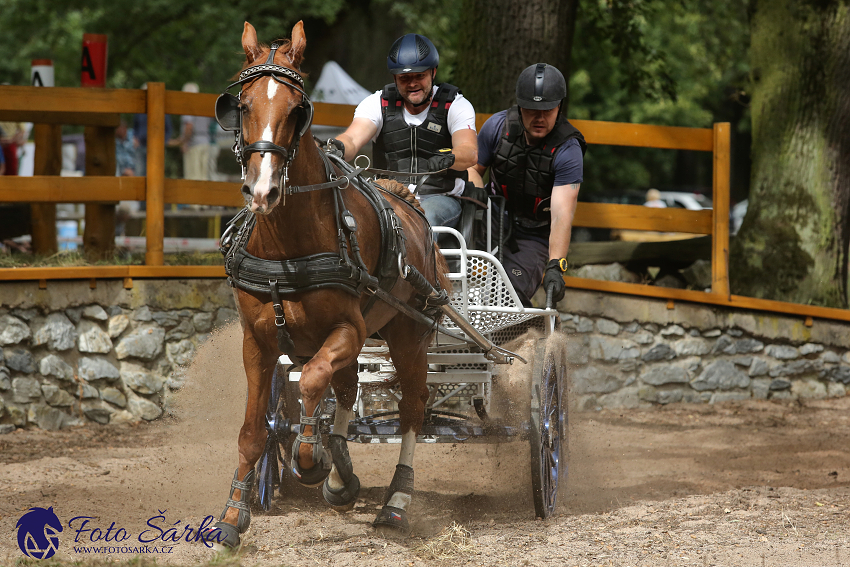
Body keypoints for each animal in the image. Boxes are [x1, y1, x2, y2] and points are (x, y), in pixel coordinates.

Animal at [201, 21, 450, 544]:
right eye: (242, 105)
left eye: (298, 109)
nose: (263, 190)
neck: (287, 249)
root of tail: (407, 197)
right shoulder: (257, 343)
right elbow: (254, 430)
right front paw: (234, 514)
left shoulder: (348, 331)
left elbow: (313, 380)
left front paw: (310, 456)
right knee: (349, 390)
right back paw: (341, 475)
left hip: (407, 336)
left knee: (412, 408)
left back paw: (393, 499)